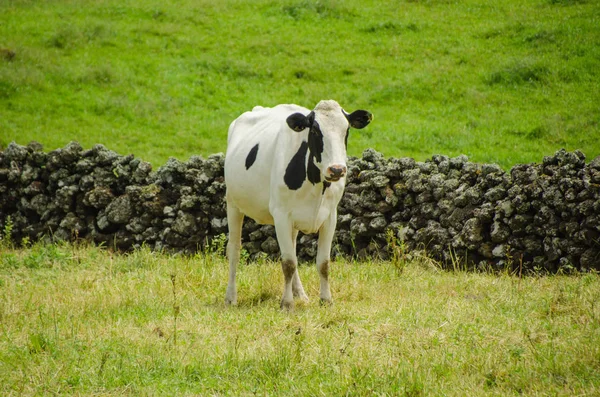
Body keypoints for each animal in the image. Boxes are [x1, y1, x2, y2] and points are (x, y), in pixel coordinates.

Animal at [225, 100, 372, 310]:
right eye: (316, 131)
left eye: (346, 130)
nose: (337, 169)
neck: (316, 184)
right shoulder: (281, 215)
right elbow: (288, 263)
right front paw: (287, 303)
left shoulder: (330, 216)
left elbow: (323, 263)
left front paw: (326, 299)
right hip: (233, 203)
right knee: (234, 249)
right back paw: (231, 297)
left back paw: (300, 294)